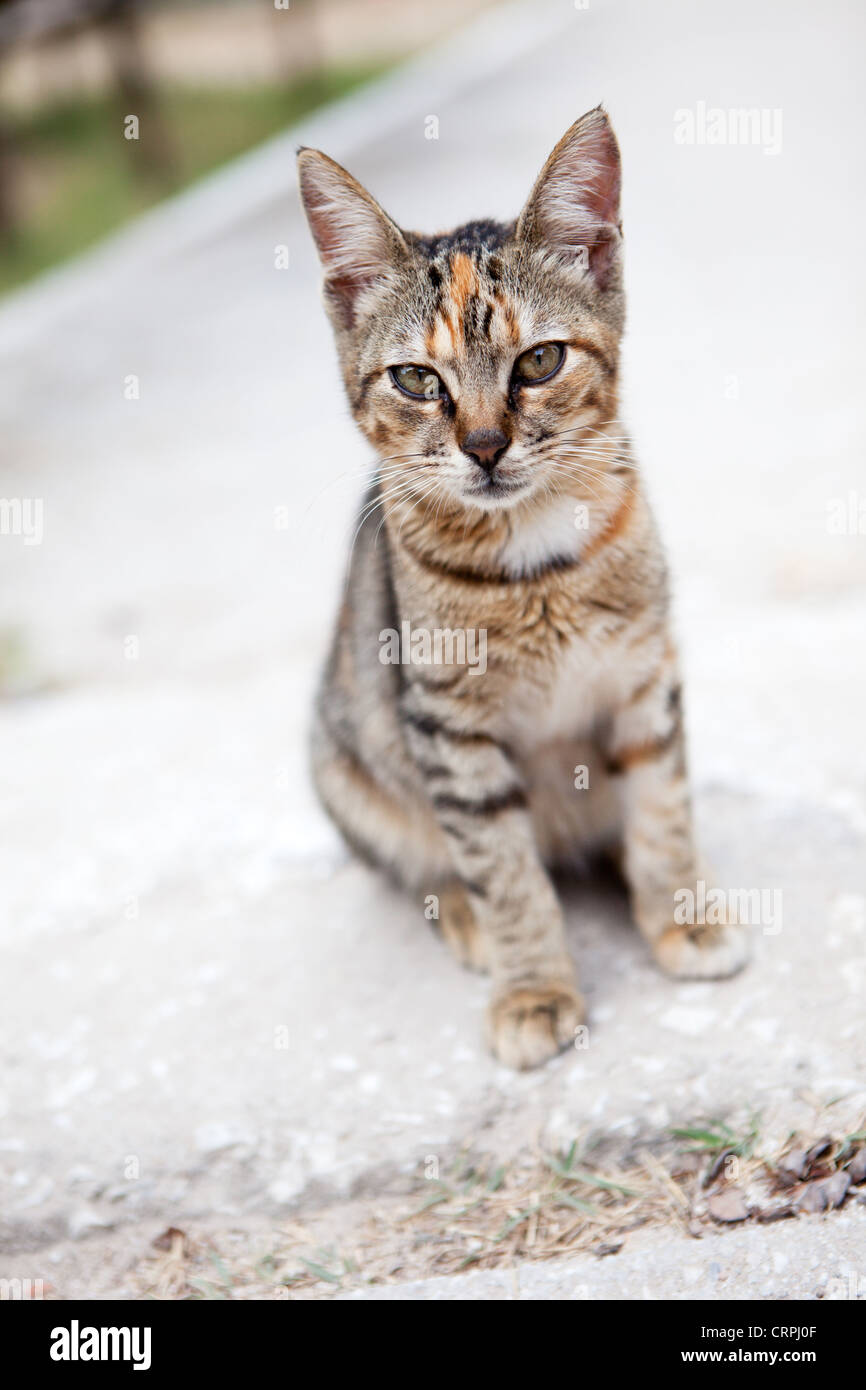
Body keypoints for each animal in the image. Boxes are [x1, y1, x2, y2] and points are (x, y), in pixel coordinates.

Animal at [296, 108, 745, 1067]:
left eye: (538, 362)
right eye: (417, 380)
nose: (485, 445)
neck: (536, 562)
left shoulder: (645, 677)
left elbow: (662, 808)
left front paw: (678, 910)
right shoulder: (451, 734)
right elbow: (504, 870)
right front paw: (535, 987)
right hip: (348, 764)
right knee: (426, 864)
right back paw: (464, 914)